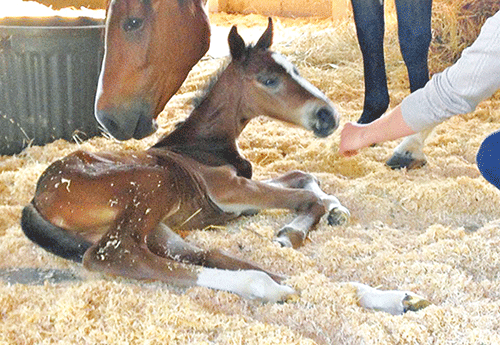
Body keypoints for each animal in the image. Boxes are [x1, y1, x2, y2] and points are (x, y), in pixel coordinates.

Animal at [21, 20, 350, 302]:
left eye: (295, 70)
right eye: (268, 80)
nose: (328, 115)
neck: (200, 144)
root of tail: (38, 195)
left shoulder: (243, 186)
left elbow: (302, 176)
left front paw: (337, 210)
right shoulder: (230, 190)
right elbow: (307, 196)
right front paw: (289, 236)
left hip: (156, 228)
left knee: (198, 254)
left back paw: (281, 279)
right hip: (155, 183)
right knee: (116, 255)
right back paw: (265, 286)